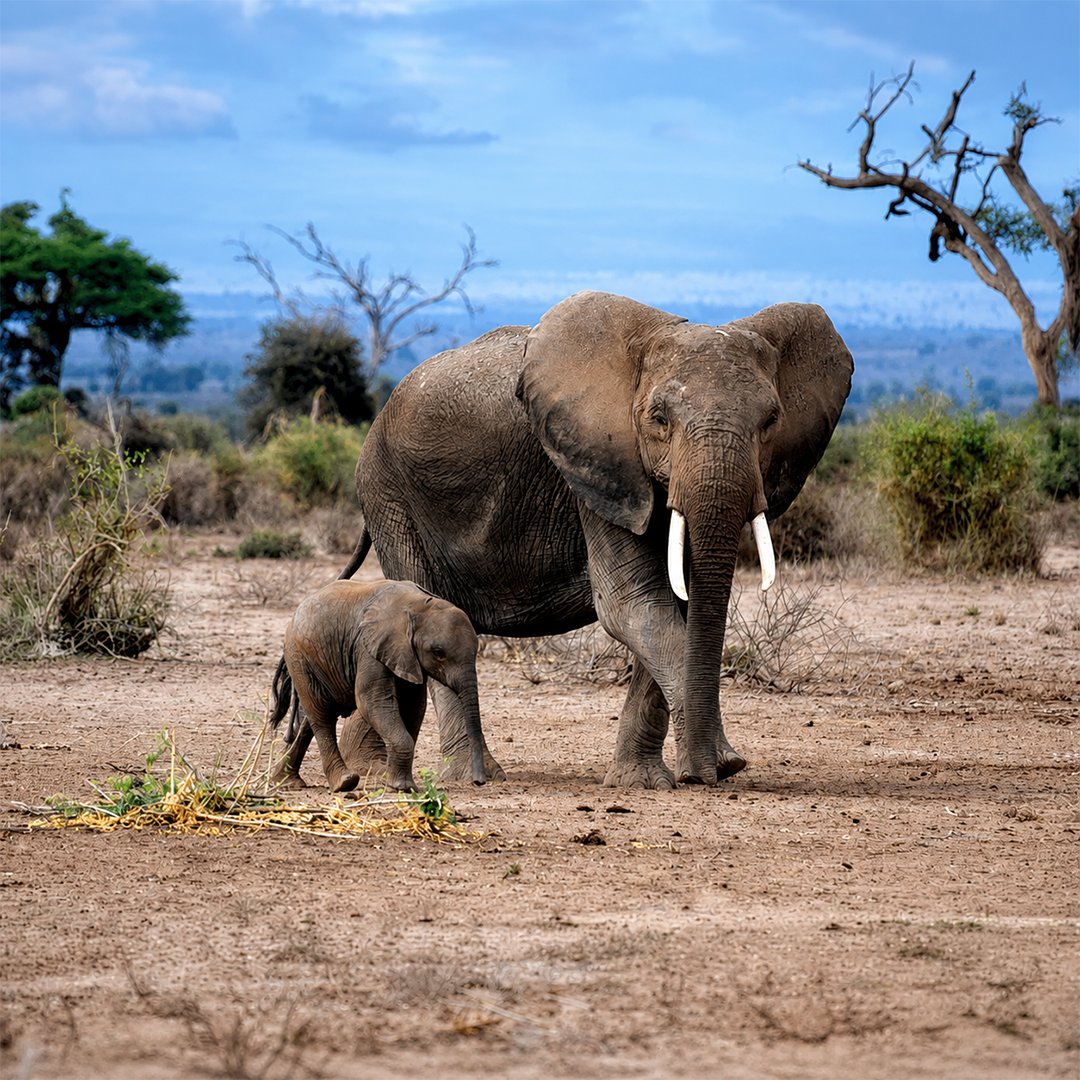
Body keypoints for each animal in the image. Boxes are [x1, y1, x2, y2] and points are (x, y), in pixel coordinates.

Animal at [267, 579, 488, 792]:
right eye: (438, 652)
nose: (478, 782)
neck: (419, 605)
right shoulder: (369, 648)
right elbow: (372, 700)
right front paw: (402, 787)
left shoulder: (405, 655)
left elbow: (414, 706)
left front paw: (396, 784)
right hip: (299, 658)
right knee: (322, 717)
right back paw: (343, 783)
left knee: (312, 717)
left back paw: (286, 782)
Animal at [337, 291, 853, 789]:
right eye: (659, 419)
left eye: (771, 421)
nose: (712, 772)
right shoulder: (595, 469)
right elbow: (634, 605)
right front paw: (718, 765)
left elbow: (676, 607)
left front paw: (642, 782)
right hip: (390, 496)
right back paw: (465, 777)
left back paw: (371, 768)